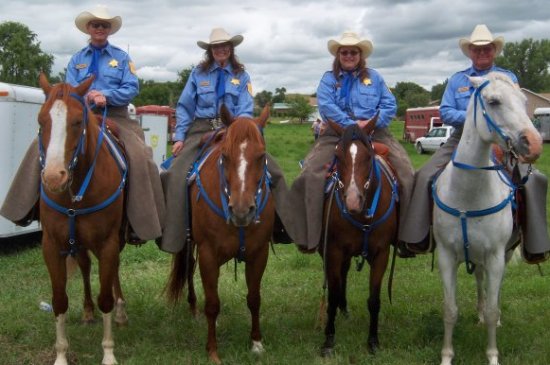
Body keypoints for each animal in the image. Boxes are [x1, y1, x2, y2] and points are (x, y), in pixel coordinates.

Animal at [37, 73, 129, 364]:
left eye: (78, 121)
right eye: (41, 120)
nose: (54, 177)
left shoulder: (108, 242)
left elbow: (106, 297)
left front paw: (108, 353)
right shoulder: (52, 245)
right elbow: (59, 301)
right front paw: (60, 355)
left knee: (113, 272)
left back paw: (121, 311)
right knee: (87, 267)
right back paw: (88, 311)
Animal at [166, 104, 274, 362]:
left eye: (261, 155)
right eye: (225, 155)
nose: (242, 210)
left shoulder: (259, 253)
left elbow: (254, 298)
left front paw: (256, 342)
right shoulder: (208, 254)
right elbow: (213, 304)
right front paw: (212, 351)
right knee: (188, 267)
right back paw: (193, 307)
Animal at [320, 118, 402, 356]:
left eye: (368, 156)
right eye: (338, 155)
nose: (353, 201)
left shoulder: (381, 254)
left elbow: (374, 300)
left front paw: (373, 341)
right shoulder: (334, 251)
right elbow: (332, 294)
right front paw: (329, 339)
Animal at [436, 72, 548, 364]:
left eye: (524, 101)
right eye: (494, 101)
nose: (534, 143)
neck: (467, 195)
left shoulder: (496, 256)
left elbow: (493, 309)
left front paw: (492, 355)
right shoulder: (446, 255)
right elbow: (449, 310)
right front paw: (446, 356)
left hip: (503, 255)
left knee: (492, 293)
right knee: (479, 281)